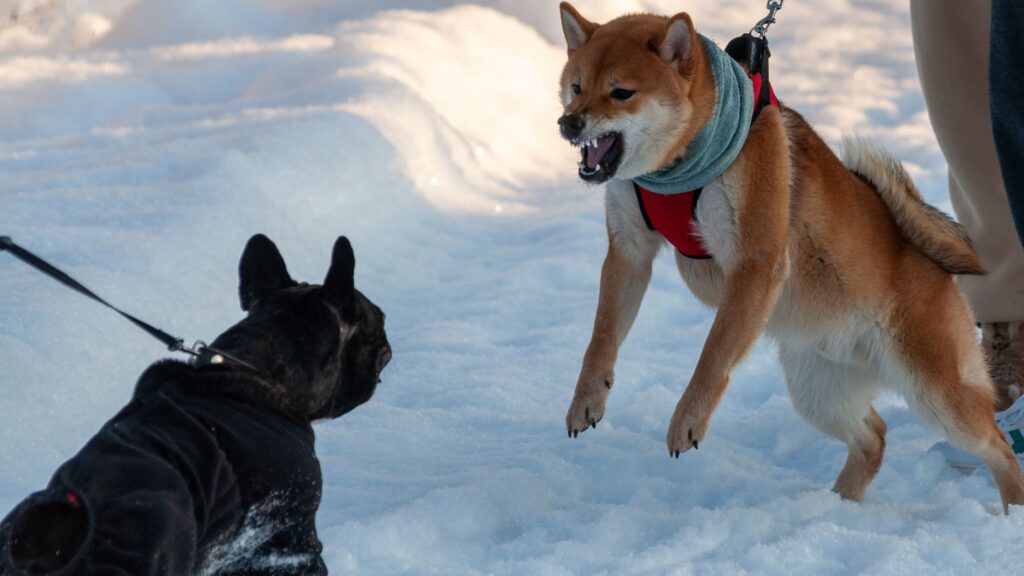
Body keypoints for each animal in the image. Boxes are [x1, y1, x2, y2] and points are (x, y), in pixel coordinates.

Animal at [557, 2, 1024, 508]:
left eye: (621, 92)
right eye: (576, 88)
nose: (569, 124)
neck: (675, 171)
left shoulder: (754, 261)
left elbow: (714, 354)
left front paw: (688, 417)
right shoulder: (629, 251)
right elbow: (602, 335)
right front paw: (587, 397)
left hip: (934, 389)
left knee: (998, 446)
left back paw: (1009, 509)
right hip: (817, 388)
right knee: (873, 437)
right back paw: (838, 506)